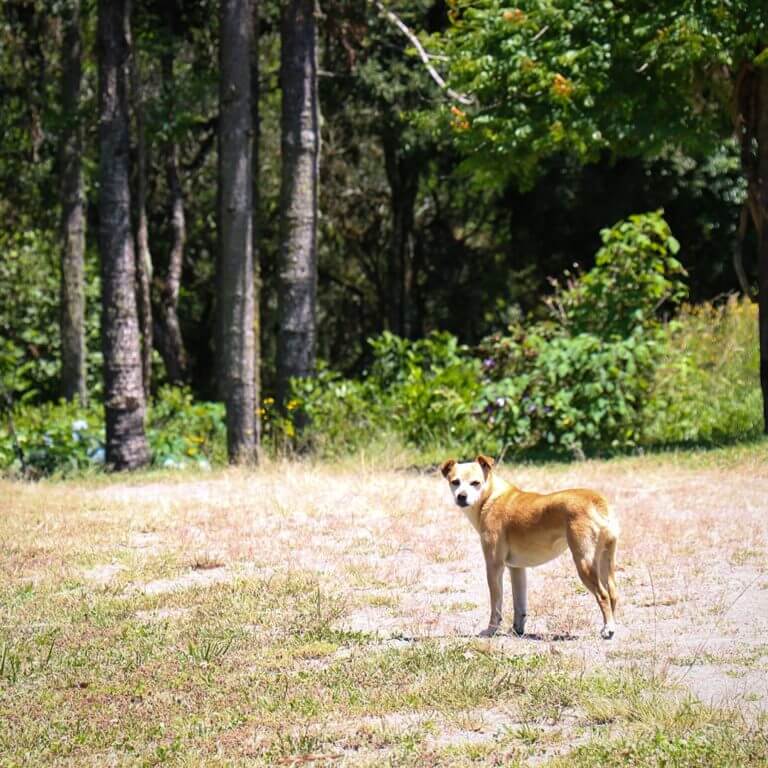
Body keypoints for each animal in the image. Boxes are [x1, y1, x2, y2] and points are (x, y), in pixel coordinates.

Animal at [438, 452, 616, 640]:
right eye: (455, 482)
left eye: (475, 483)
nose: (461, 496)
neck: (490, 497)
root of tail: (596, 500)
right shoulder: (517, 569)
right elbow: (519, 605)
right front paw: (518, 629)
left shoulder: (494, 566)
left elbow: (496, 605)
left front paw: (491, 630)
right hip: (606, 562)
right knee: (613, 594)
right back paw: (612, 624)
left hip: (584, 563)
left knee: (603, 595)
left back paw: (608, 628)